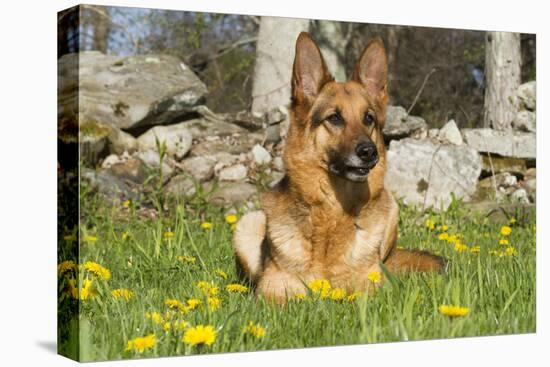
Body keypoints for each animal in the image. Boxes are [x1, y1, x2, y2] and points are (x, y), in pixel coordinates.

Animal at [235, 32, 446, 304]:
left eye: (368, 118)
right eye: (334, 118)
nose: (369, 153)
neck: (332, 210)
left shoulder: (372, 287)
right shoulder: (271, 289)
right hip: (248, 224)